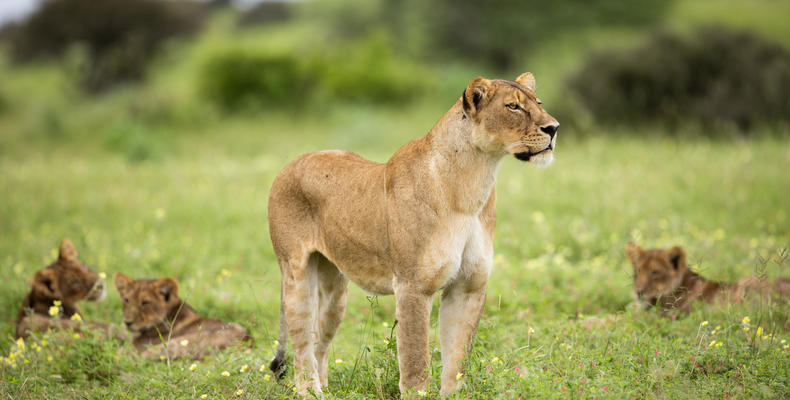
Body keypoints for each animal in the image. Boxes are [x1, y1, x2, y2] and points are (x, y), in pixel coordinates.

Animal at [114, 273, 251, 360]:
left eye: (145, 302)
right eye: (126, 300)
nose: (127, 322)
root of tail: (246, 341)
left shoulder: (138, 347)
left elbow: (120, 351)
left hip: (167, 346)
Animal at [267, 73, 559, 396]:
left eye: (538, 103)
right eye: (513, 107)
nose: (554, 128)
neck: (474, 183)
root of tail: (290, 164)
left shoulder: (468, 286)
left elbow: (457, 358)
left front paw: (452, 395)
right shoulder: (413, 287)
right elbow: (416, 359)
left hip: (334, 292)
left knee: (320, 339)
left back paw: (327, 391)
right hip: (296, 275)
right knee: (301, 342)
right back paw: (310, 391)